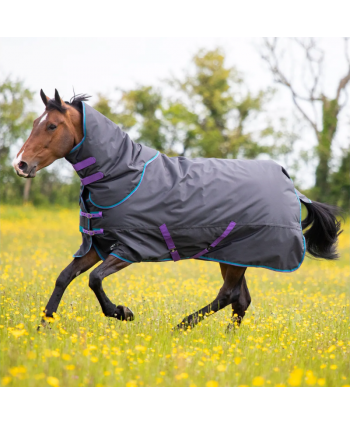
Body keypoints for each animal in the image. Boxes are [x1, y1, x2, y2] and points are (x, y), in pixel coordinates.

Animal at [13, 89, 342, 332]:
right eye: (35, 122)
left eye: (52, 125)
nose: (21, 164)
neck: (121, 173)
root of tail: (293, 188)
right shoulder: (99, 244)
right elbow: (64, 276)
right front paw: (44, 325)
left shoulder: (131, 248)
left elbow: (94, 280)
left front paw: (123, 312)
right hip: (232, 255)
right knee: (240, 300)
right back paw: (224, 340)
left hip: (239, 254)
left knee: (230, 295)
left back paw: (183, 327)